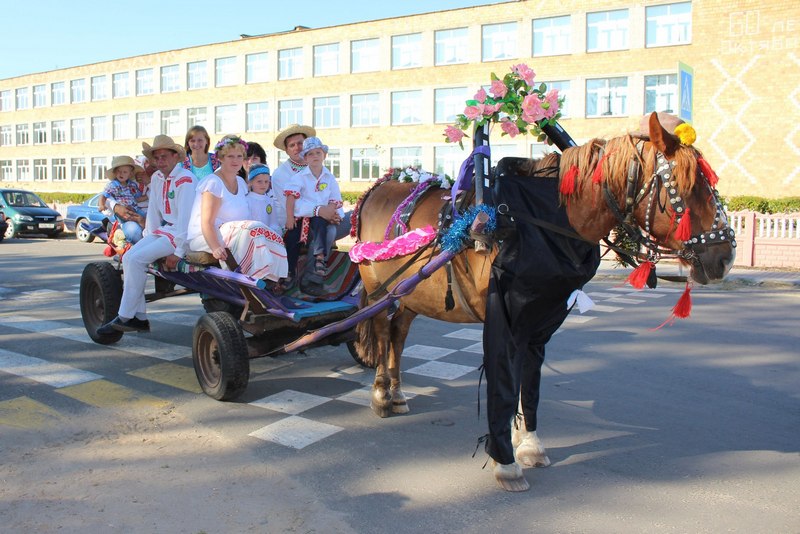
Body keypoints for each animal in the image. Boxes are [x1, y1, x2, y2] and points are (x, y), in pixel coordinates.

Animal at [354, 114, 736, 490]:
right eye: (686, 186)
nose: (726, 257)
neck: (539, 221)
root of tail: (378, 187)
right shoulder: (505, 318)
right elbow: (505, 383)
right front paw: (505, 460)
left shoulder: (540, 322)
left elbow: (529, 382)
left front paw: (529, 443)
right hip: (379, 290)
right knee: (383, 331)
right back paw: (381, 395)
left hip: (410, 296)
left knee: (398, 334)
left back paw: (397, 393)